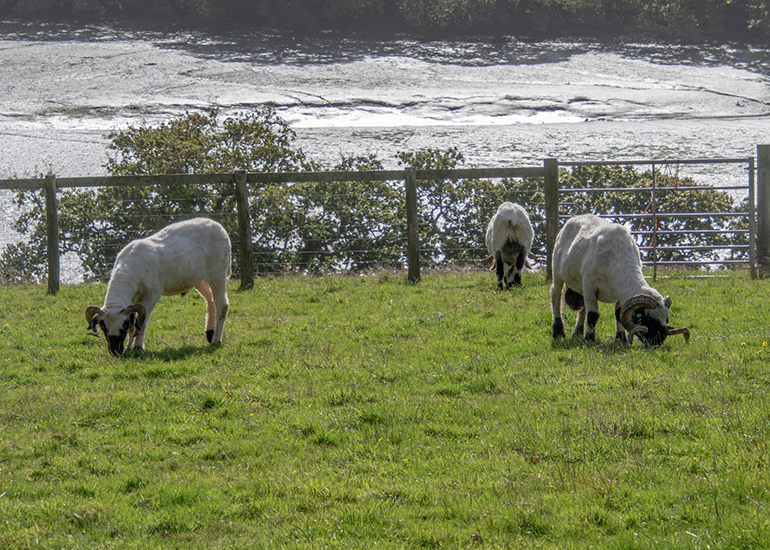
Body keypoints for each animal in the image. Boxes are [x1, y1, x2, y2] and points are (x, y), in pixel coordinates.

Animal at [85, 218, 232, 356]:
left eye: (124, 326)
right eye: (103, 326)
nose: (115, 351)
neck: (127, 272)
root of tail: (219, 226)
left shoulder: (152, 295)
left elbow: (141, 322)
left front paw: (138, 347)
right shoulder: (133, 300)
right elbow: (134, 323)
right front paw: (129, 347)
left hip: (218, 273)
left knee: (222, 305)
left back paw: (216, 341)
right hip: (198, 278)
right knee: (210, 301)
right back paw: (210, 333)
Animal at [550, 214, 690, 346]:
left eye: (666, 319)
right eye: (648, 319)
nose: (657, 342)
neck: (620, 261)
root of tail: (575, 218)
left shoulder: (620, 294)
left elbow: (618, 314)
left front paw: (621, 339)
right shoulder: (589, 286)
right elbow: (593, 315)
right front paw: (590, 339)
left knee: (583, 307)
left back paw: (577, 333)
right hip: (557, 271)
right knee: (555, 295)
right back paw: (558, 332)